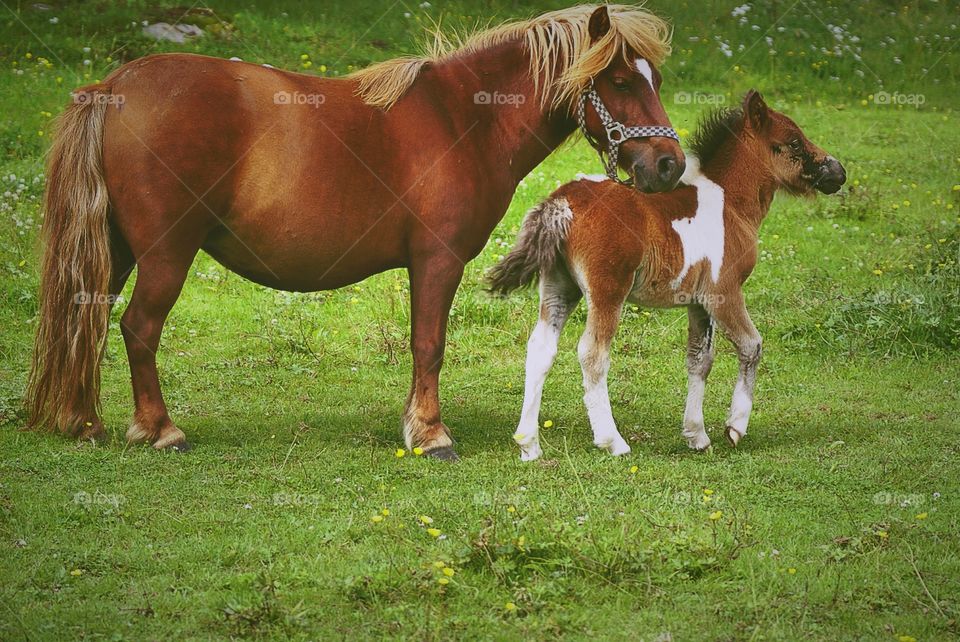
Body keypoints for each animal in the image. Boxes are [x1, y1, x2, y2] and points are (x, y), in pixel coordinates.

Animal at [26, 5, 685, 460]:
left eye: (652, 78)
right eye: (621, 81)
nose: (668, 165)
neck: (462, 118)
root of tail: (110, 89)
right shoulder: (437, 260)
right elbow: (429, 344)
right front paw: (431, 433)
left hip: (115, 252)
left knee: (85, 321)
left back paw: (85, 422)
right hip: (166, 253)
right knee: (137, 328)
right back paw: (160, 430)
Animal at [487, 90, 845, 460]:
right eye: (794, 141)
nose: (838, 171)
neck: (730, 202)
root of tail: (561, 202)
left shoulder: (698, 302)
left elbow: (700, 359)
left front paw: (696, 435)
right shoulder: (724, 291)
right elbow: (751, 345)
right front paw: (735, 428)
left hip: (559, 286)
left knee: (540, 348)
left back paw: (528, 444)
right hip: (608, 290)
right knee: (593, 354)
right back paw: (612, 441)